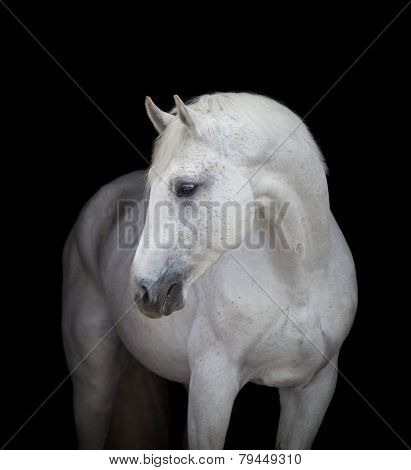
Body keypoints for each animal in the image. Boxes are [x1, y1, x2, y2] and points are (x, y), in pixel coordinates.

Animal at [62, 92, 358, 448]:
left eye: (186, 188)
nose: (143, 290)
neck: (299, 284)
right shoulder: (213, 387)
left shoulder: (313, 389)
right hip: (93, 384)